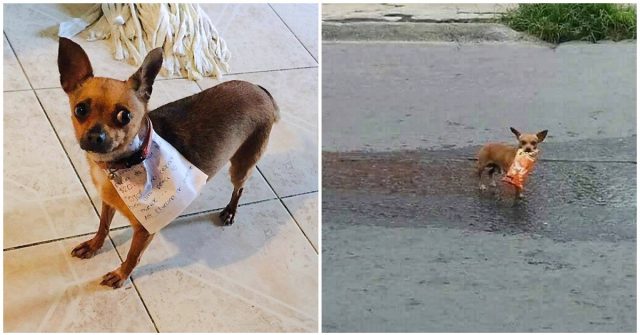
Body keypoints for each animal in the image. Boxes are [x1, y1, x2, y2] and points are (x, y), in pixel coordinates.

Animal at [58, 36, 278, 288]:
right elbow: (103, 225)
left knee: (239, 188)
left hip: (242, 164)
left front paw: (121, 275)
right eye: (80, 109)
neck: (126, 162)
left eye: (125, 116)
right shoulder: (108, 202)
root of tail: (260, 90)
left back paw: (230, 211)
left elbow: (133, 256)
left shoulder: (144, 230)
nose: (96, 136)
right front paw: (94, 246)